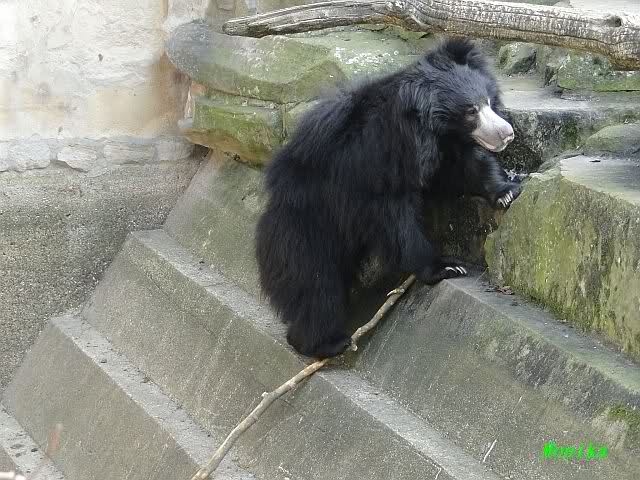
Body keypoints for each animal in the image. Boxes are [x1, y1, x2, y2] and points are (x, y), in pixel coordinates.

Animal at [256, 39, 521, 358]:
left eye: (489, 102)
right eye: (471, 111)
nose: (507, 133)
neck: (425, 132)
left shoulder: (444, 146)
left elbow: (467, 166)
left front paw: (506, 191)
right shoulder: (374, 167)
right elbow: (393, 222)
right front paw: (445, 266)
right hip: (307, 228)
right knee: (316, 284)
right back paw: (326, 343)